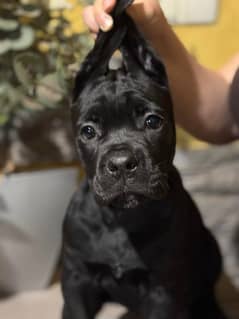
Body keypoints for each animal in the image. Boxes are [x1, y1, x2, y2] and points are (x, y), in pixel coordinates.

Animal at [61, 1, 226, 318]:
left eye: (152, 121)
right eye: (88, 131)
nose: (121, 164)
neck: (122, 219)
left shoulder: (163, 289)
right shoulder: (76, 279)